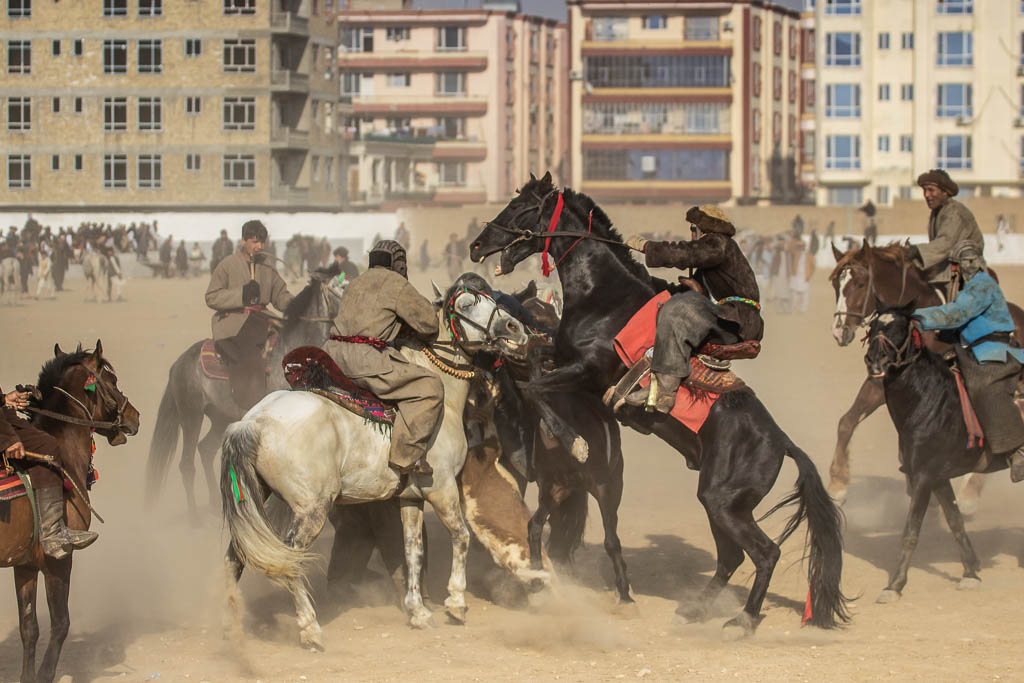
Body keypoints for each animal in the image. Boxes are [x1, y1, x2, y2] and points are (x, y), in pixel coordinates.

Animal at [0, 342, 140, 683]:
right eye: (112, 380)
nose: (135, 416)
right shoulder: (59, 559)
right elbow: (61, 624)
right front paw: (44, 674)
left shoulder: (23, 564)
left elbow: (29, 629)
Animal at [222, 278, 528, 651]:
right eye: (467, 305)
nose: (515, 329)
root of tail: (254, 421)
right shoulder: (441, 489)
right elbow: (461, 536)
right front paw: (456, 602)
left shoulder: (410, 498)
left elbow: (412, 551)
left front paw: (418, 612)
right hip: (311, 510)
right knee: (289, 560)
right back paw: (310, 628)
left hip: (257, 500)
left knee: (236, 556)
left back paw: (233, 627)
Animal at [468, 175, 847, 634]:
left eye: (521, 207)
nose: (477, 245)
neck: (605, 296)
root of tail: (782, 443)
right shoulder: (563, 357)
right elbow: (538, 364)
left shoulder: (590, 370)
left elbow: (541, 387)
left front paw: (576, 442)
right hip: (720, 502)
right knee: (731, 557)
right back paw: (695, 610)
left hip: (724, 503)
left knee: (764, 552)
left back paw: (743, 619)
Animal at [823, 242, 1024, 509]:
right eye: (836, 284)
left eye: (861, 284)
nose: (839, 331)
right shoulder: (878, 382)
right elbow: (847, 421)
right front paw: (837, 486)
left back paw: (969, 495)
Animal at [864, 309, 1015, 602]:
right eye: (873, 326)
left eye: (898, 329)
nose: (873, 360)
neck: (929, 400)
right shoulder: (938, 477)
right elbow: (956, 522)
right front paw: (970, 573)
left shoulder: (923, 476)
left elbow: (911, 531)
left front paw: (894, 585)